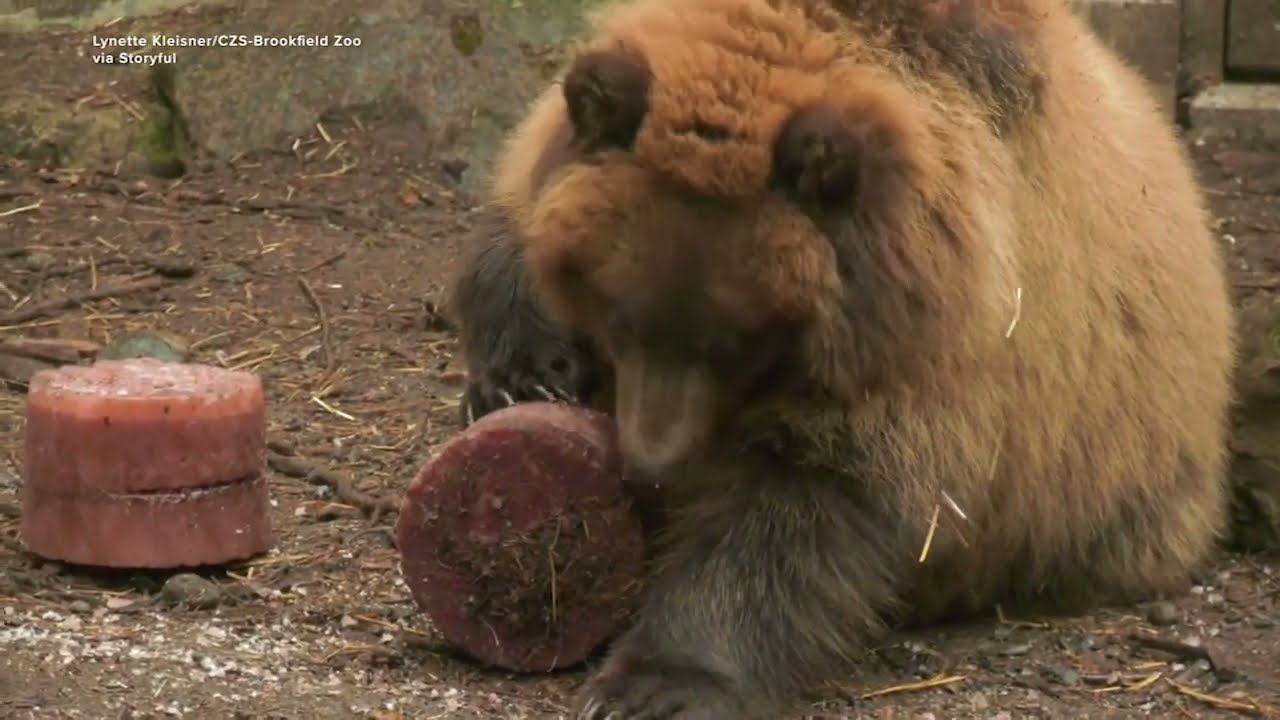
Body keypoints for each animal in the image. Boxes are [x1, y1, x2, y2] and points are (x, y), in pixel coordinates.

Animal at [447, 1, 1237, 718]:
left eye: (740, 337)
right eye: (619, 312)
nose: (651, 462)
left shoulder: (928, 345)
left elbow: (811, 499)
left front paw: (655, 684)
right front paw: (520, 376)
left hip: (1112, 479)